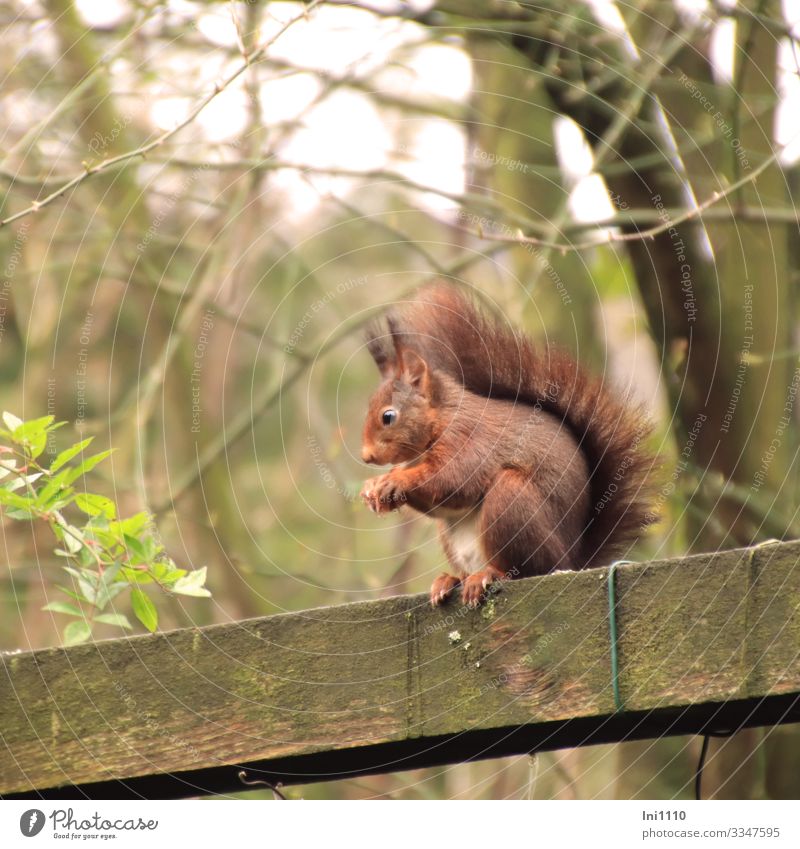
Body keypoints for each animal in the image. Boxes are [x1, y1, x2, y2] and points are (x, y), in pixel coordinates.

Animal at [360, 284, 660, 608]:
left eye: (388, 416)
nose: (366, 456)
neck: (440, 420)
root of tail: (571, 560)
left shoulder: (470, 440)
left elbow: (452, 479)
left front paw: (394, 480)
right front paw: (373, 487)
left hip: (512, 501)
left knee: (524, 568)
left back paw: (489, 574)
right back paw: (450, 580)